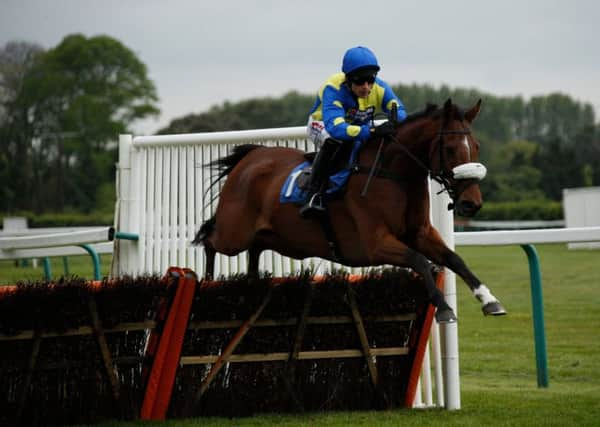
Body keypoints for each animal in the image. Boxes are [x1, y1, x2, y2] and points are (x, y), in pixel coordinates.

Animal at [192, 98, 506, 322]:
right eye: (451, 148)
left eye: (476, 146)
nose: (471, 203)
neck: (391, 173)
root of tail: (252, 156)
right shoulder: (374, 244)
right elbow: (419, 261)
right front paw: (443, 307)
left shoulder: (420, 233)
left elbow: (454, 259)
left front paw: (489, 299)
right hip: (234, 234)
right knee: (209, 239)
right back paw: (205, 283)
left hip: (267, 236)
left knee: (253, 253)